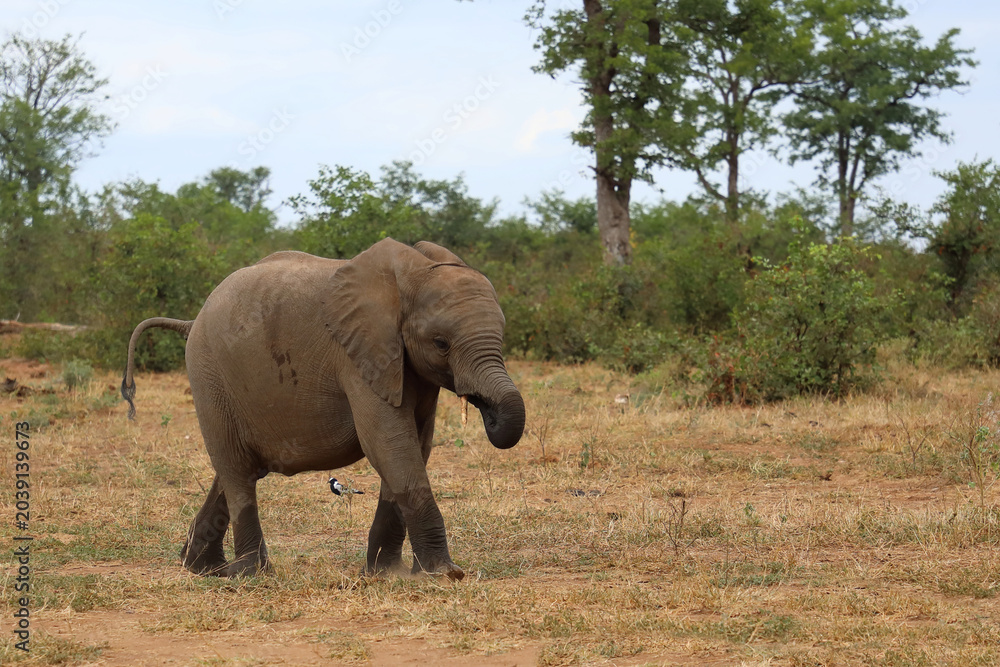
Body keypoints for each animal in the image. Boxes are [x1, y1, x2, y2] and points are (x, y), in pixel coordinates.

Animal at [121, 238, 525, 581]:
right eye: (441, 343)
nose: (488, 413)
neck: (411, 274)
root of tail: (193, 320)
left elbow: (415, 446)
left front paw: (384, 575)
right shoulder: (356, 358)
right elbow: (390, 444)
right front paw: (444, 574)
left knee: (237, 467)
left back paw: (202, 568)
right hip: (209, 375)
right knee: (235, 470)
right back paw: (250, 575)